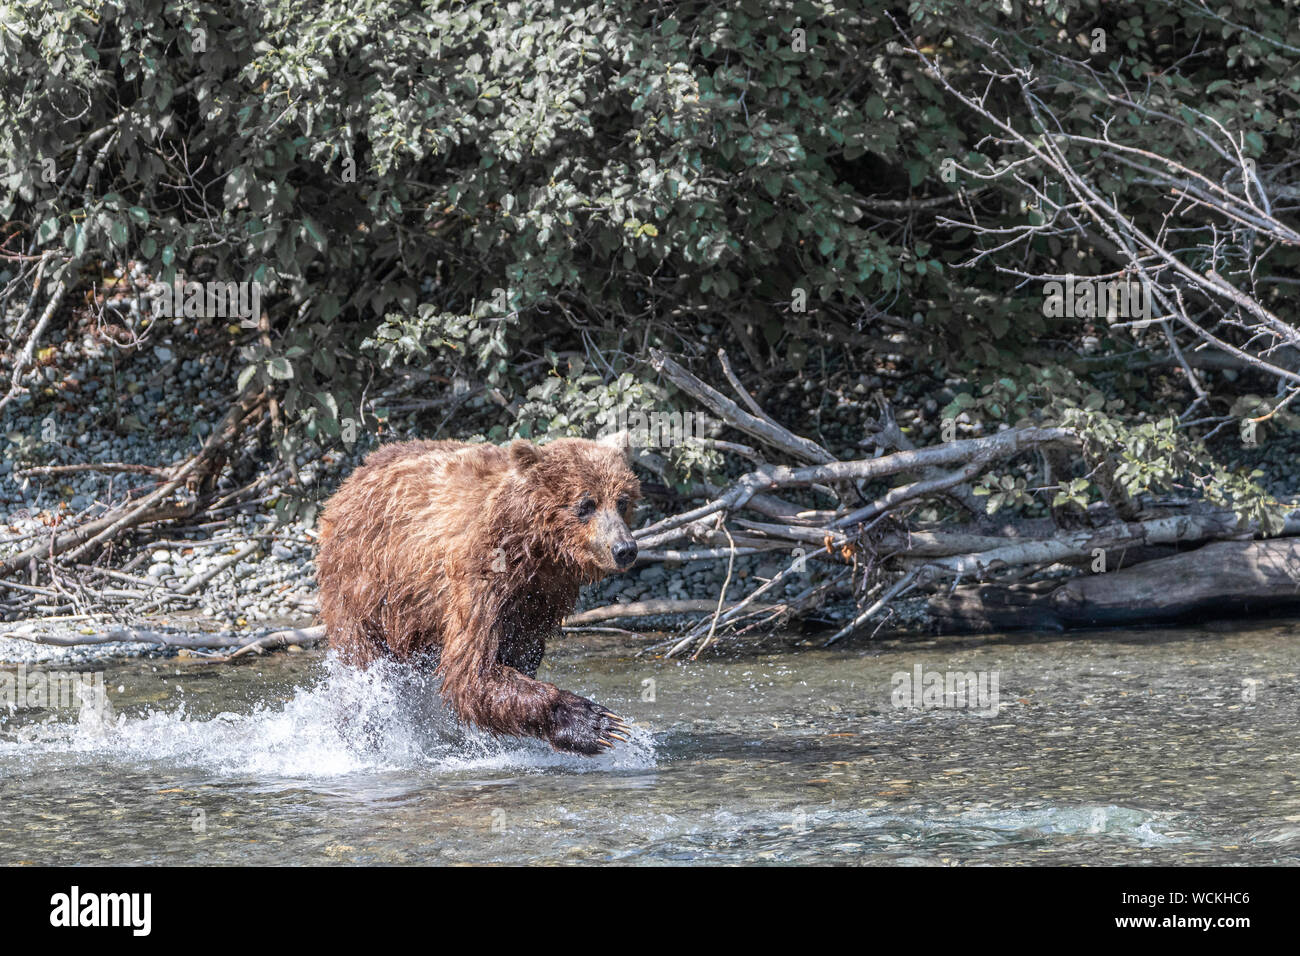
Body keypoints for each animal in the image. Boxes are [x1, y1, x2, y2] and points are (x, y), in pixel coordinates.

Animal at [314, 434, 639, 754]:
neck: (536, 548)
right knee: (363, 661)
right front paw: (596, 723)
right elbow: (472, 669)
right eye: (586, 504)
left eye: (622, 501)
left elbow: (519, 652)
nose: (624, 548)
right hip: (364, 582)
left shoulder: (540, 597)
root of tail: (349, 481)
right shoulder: (482, 576)